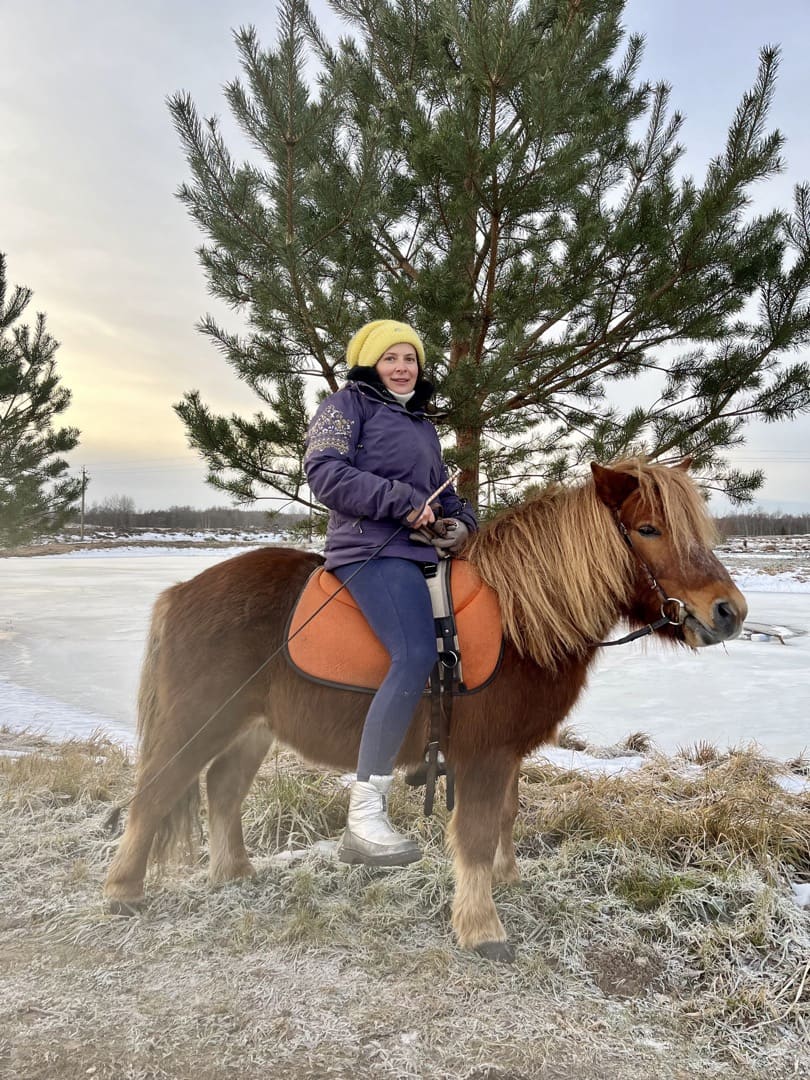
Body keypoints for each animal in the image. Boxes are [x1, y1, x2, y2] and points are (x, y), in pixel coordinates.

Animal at [104, 460, 751, 959]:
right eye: (647, 528)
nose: (730, 612)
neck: (521, 617)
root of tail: (181, 592)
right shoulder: (484, 754)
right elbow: (475, 831)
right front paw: (482, 927)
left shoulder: (504, 754)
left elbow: (505, 817)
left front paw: (503, 881)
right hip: (197, 722)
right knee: (156, 792)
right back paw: (123, 893)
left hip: (250, 730)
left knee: (222, 790)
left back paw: (234, 873)